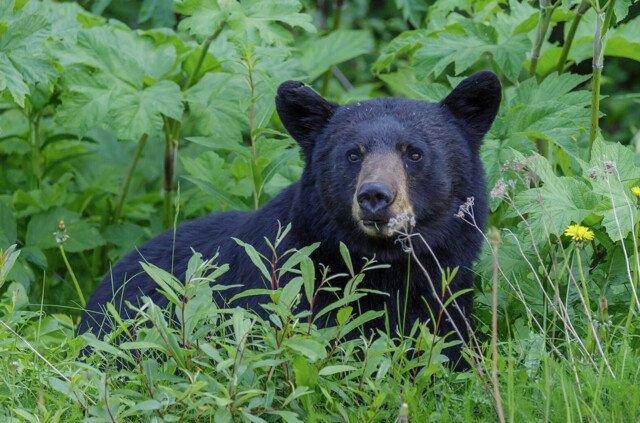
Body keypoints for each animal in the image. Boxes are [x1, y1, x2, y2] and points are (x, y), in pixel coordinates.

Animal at [79, 71, 502, 370]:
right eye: (353, 154)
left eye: (413, 153)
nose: (375, 196)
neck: (386, 268)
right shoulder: (288, 291)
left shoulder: (447, 294)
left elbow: (450, 349)